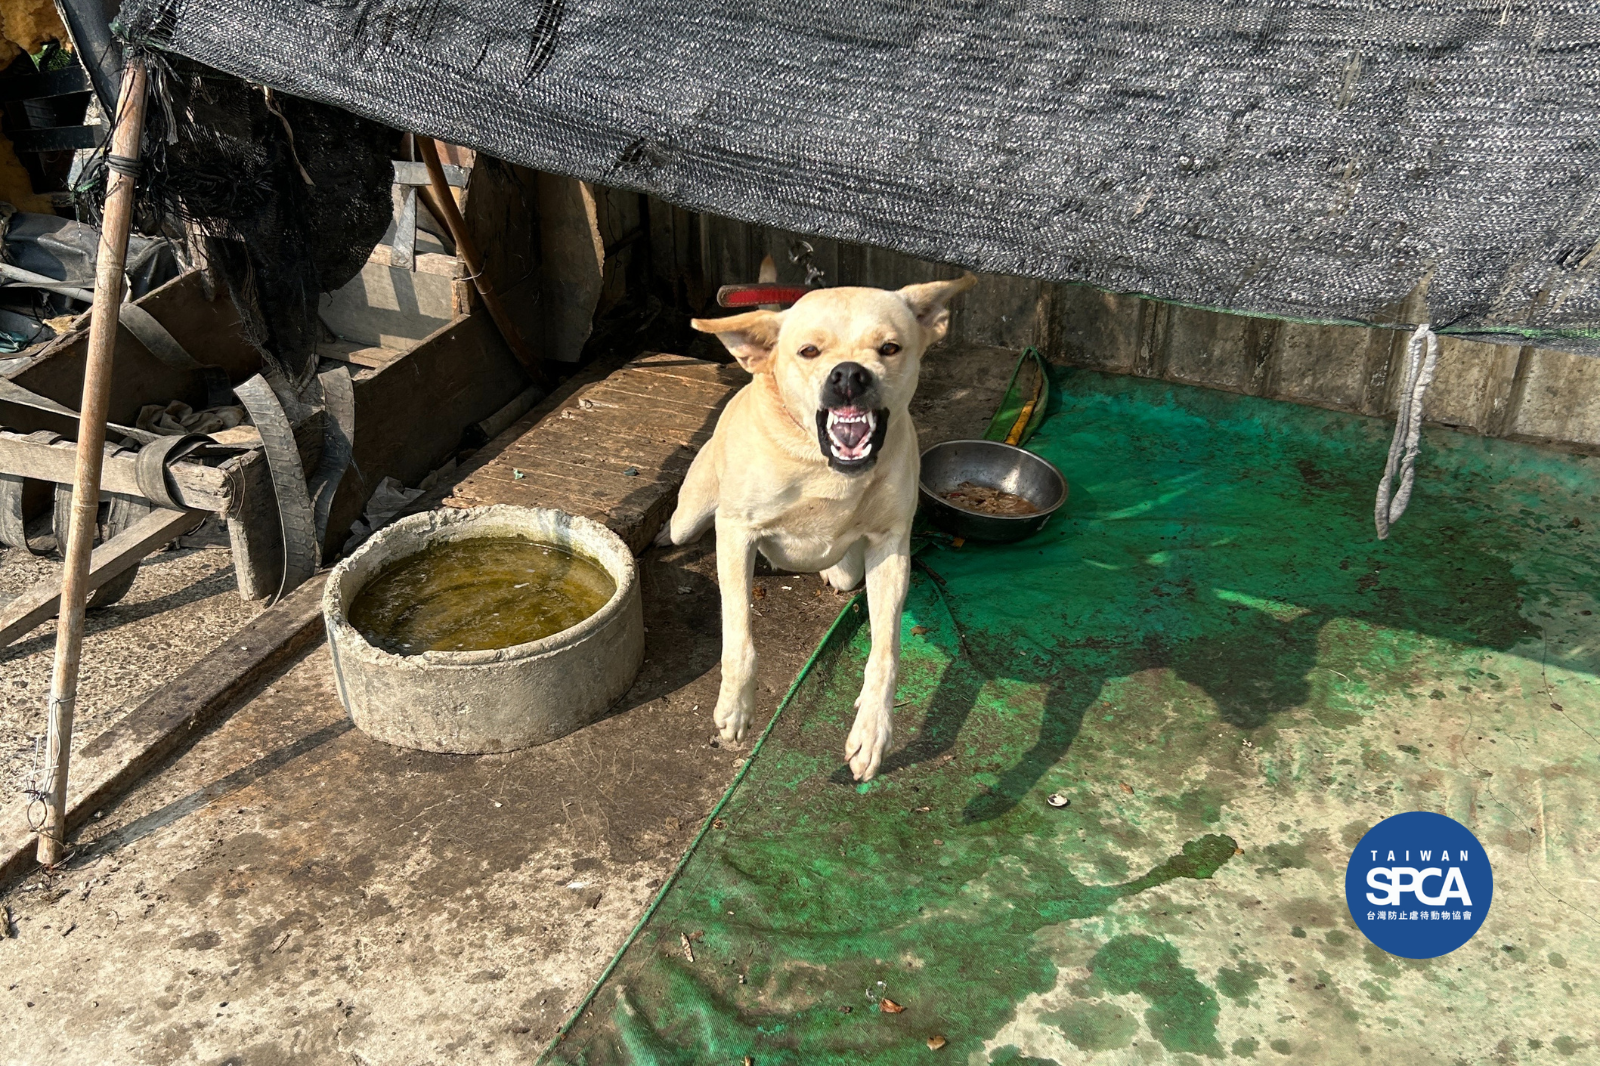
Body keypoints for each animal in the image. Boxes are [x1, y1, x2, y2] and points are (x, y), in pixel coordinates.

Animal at [652, 272, 972, 771]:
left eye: (890, 347)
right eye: (808, 351)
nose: (849, 374)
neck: (820, 463)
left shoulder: (891, 546)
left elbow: (885, 652)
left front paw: (872, 730)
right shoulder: (736, 531)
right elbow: (739, 636)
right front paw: (735, 708)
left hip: (850, 570)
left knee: (842, 574)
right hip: (695, 513)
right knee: (684, 526)